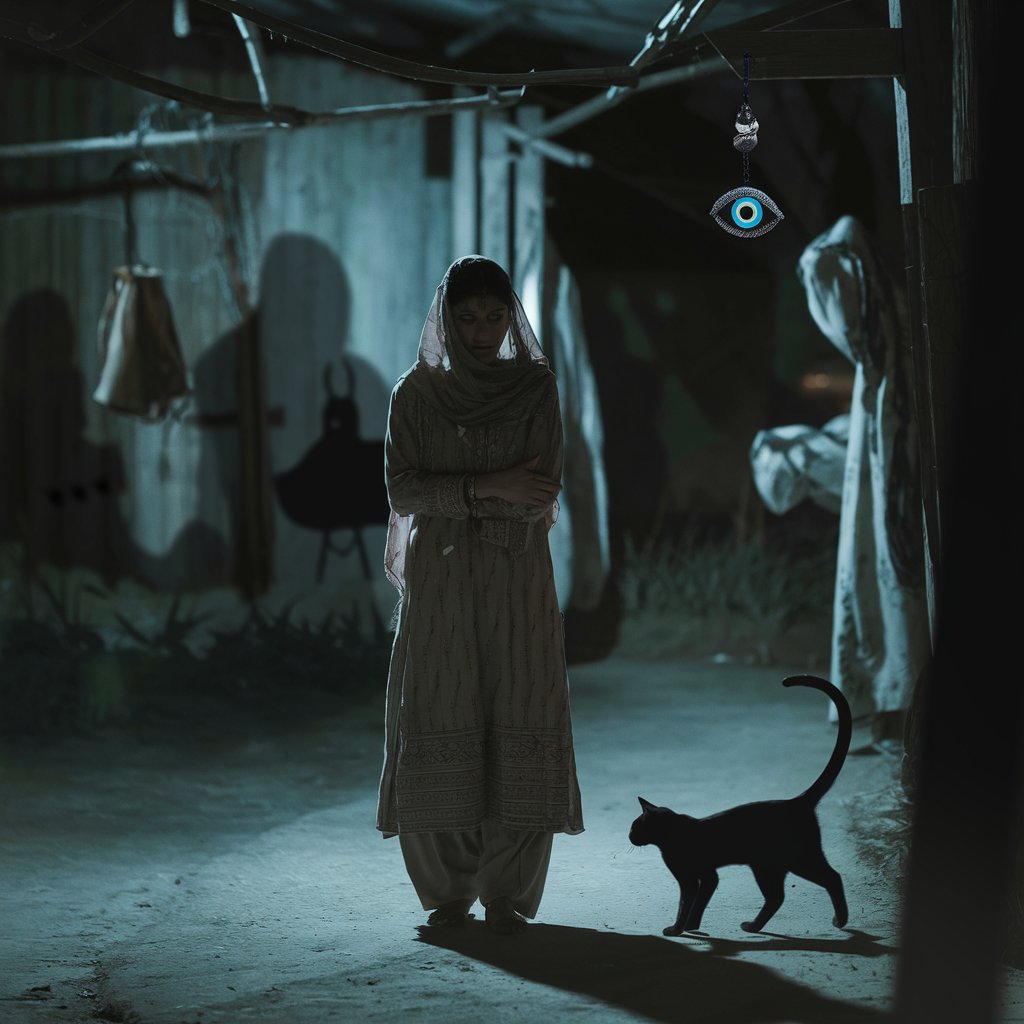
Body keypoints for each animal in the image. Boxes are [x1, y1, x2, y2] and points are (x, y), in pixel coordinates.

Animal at [626, 671, 851, 937]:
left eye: (635, 826)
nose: (629, 837)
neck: (672, 834)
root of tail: (796, 801)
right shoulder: (708, 875)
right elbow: (699, 902)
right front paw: (692, 927)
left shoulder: (690, 878)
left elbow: (685, 903)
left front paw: (676, 929)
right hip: (769, 865)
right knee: (778, 897)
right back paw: (754, 926)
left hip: (796, 858)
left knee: (832, 877)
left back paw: (840, 920)